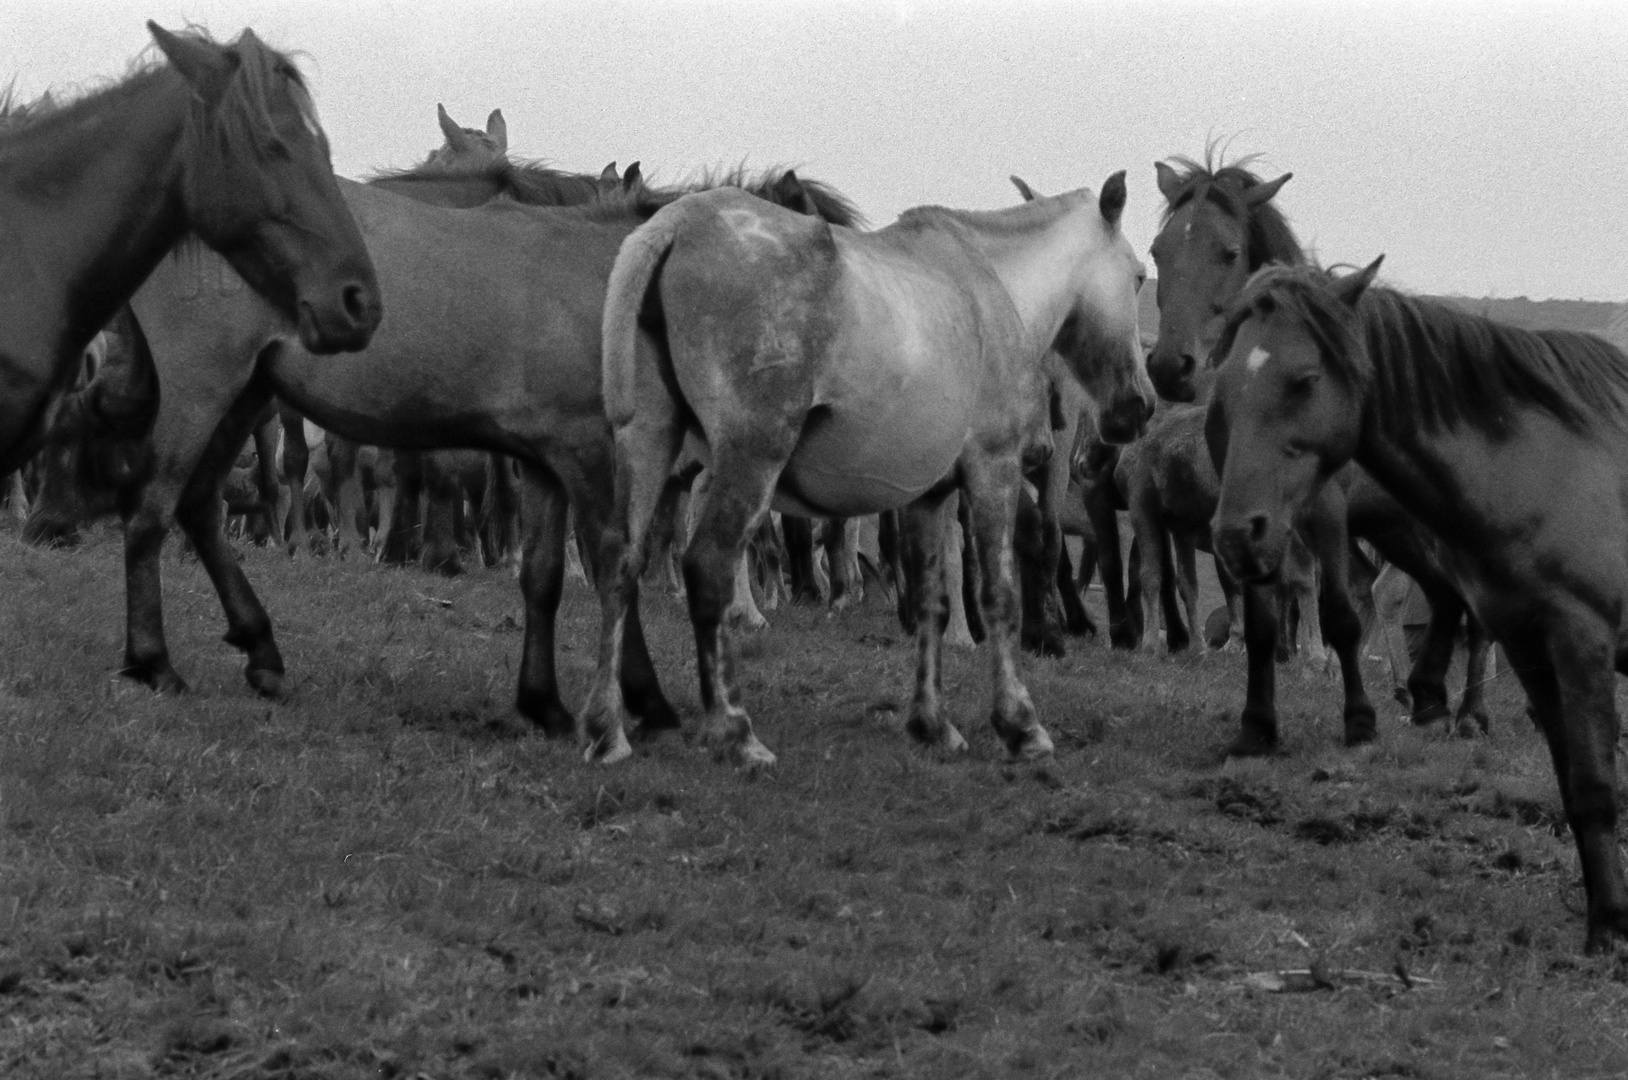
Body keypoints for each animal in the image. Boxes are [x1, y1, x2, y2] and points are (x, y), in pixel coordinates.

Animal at [586, 171, 1159, 768]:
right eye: (1138, 276)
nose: (1140, 405)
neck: (996, 283)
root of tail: (675, 224)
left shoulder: (928, 496)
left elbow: (932, 602)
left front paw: (932, 724)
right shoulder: (993, 468)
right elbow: (999, 596)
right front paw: (1020, 725)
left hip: (649, 443)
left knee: (620, 561)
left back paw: (607, 729)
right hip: (752, 456)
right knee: (708, 566)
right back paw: (735, 730)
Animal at [1146, 153, 1491, 752]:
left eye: (1229, 251)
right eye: (1157, 251)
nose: (1170, 366)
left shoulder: (1326, 507)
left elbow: (1335, 608)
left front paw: (1351, 710)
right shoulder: (1251, 512)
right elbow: (1268, 611)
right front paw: (1262, 721)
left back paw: (1470, 712)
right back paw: (1422, 698)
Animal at [1204, 262, 1628, 957]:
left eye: (1305, 379)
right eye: (1227, 386)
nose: (1239, 535)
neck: (1558, 470)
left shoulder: (1582, 644)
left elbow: (1594, 788)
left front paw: (1610, 932)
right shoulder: (1532, 651)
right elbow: (1572, 787)